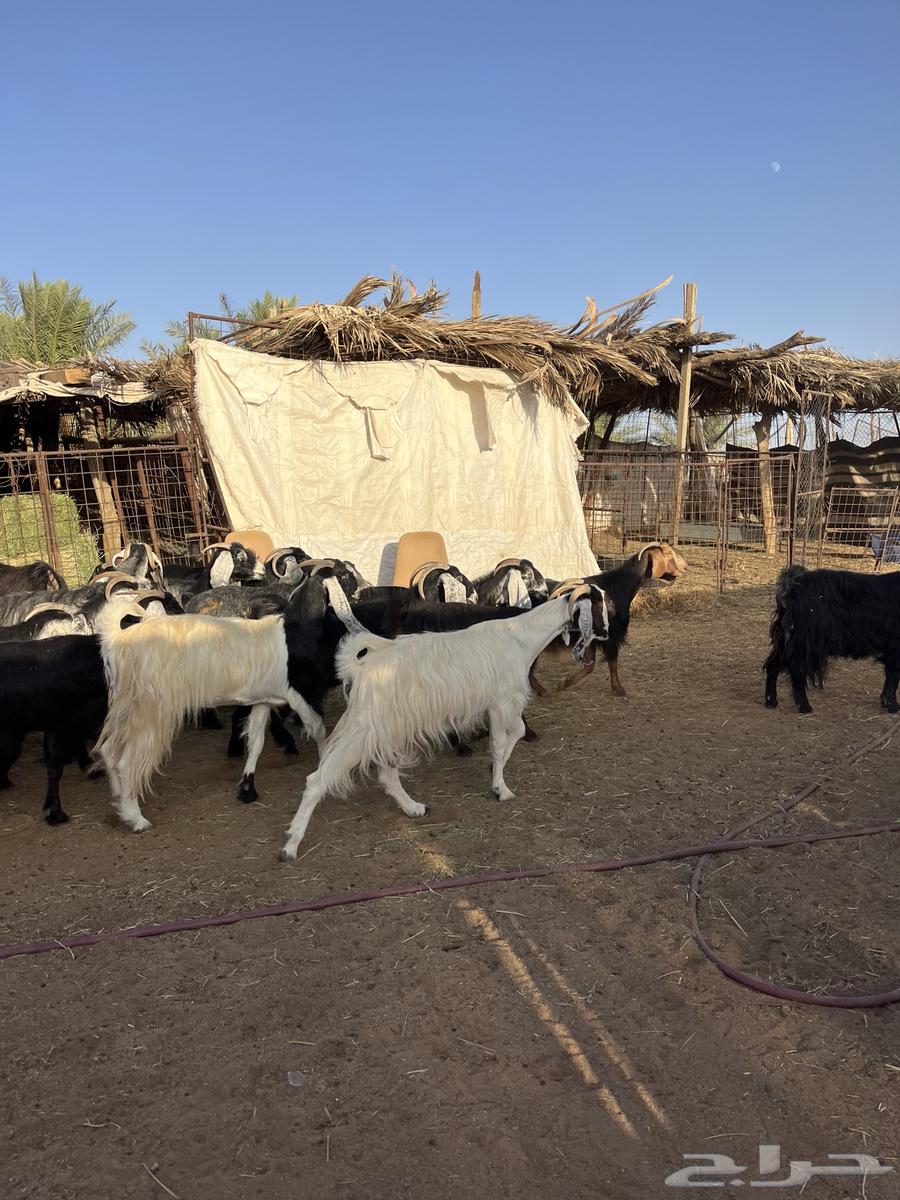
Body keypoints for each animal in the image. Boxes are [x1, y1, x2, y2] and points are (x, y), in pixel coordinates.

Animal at [279, 587, 609, 856]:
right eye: (597, 605)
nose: (606, 633)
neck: (520, 636)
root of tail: (362, 664)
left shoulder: (493, 705)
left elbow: (502, 741)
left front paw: (494, 779)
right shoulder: (504, 702)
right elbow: (510, 737)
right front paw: (501, 789)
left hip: (387, 728)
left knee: (386, 774)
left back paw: (413, 808)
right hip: (367, 727)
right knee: (318, 779)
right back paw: (291, 844)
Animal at [764, 565, 900, 713]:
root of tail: (791, 585)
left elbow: (891, 675)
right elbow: (894, 675)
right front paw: (893, 705)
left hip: (787, 639)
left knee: (773, 664)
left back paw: (771, 702)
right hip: (806, 643)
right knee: (795, 669)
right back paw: (805, 706)